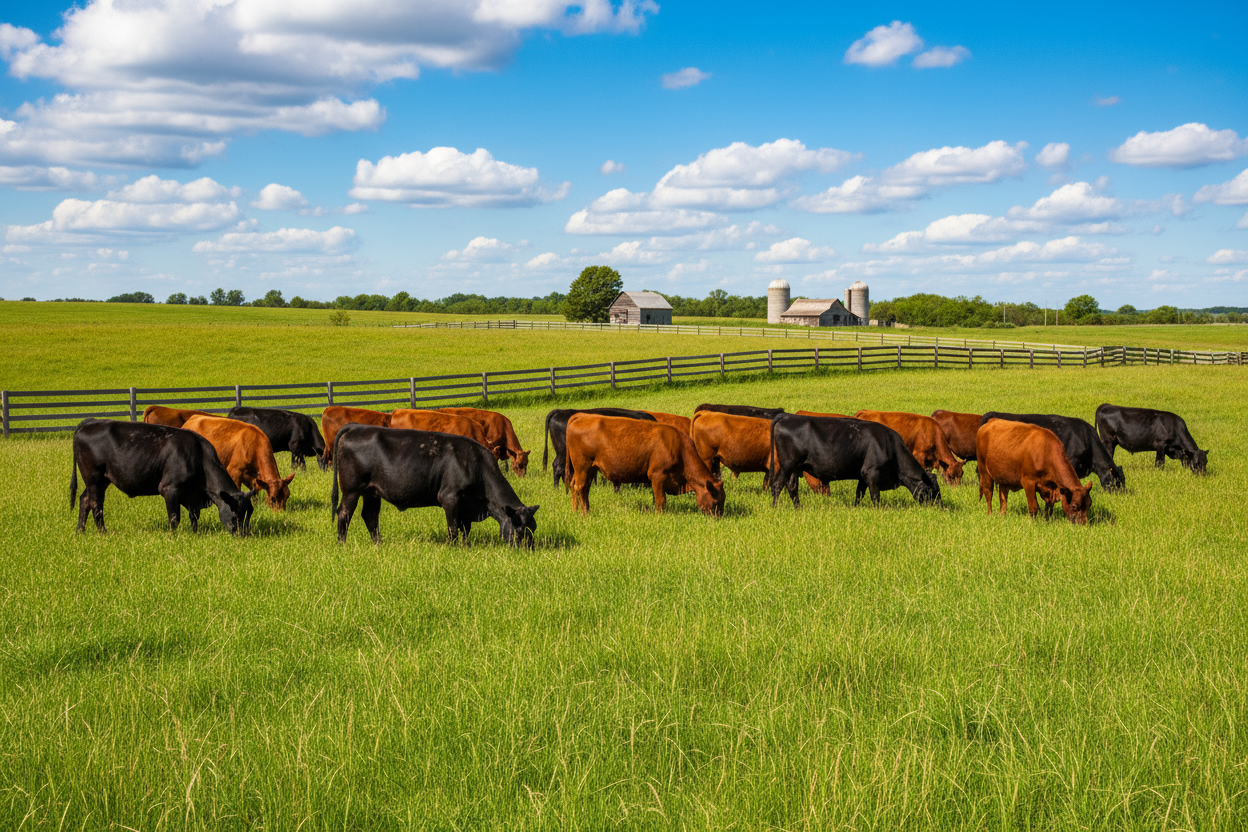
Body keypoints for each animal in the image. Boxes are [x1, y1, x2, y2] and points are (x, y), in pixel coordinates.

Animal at [70, 418, 256, 535]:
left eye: (248, 515)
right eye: (234, 516)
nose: (243, 535)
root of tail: (90, 422)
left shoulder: (192, 496)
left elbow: (194, 516)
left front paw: (195, 533)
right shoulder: (169, 488)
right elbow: (175, 518)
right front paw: (173, 536)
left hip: (101, 480)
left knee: (84, 500)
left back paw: (80, 531)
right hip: (94, 477)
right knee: (96, 504)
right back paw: (103, 532)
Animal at [331, 425, 539, 547]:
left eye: (533, 529)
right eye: (519, 530)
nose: (529, 548)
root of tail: (357, 427)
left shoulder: (466, 507)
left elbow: (465, 529)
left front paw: (465, 546)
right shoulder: (450, 498)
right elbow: (453, 527)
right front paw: (454, 547)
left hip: (372, 491)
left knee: (370, 515)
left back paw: (378, 543)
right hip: (351, 489)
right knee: (344, 514)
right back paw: (342, 544)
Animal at [564, 414, 724, 516]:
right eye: (716, 501)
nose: (719, 518)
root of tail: (582, 417)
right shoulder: (657, 475)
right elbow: (661, 501)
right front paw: (659, 516)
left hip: (589, 469)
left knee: (581, 488)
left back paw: (584, 511)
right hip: (583, 467)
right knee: (579, 487)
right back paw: (581, 513)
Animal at [769, 414, 941, 509]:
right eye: (931, 491)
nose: (940, 508)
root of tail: (787, 416)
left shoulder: (862, 476)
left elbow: (859, 494)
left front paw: (856, 507)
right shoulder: (871, 473)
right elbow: (875, 496)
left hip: (794, 468)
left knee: (792, 487)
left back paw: (798, 508)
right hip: (787, 465)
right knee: (777, 486)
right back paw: (775, 507)